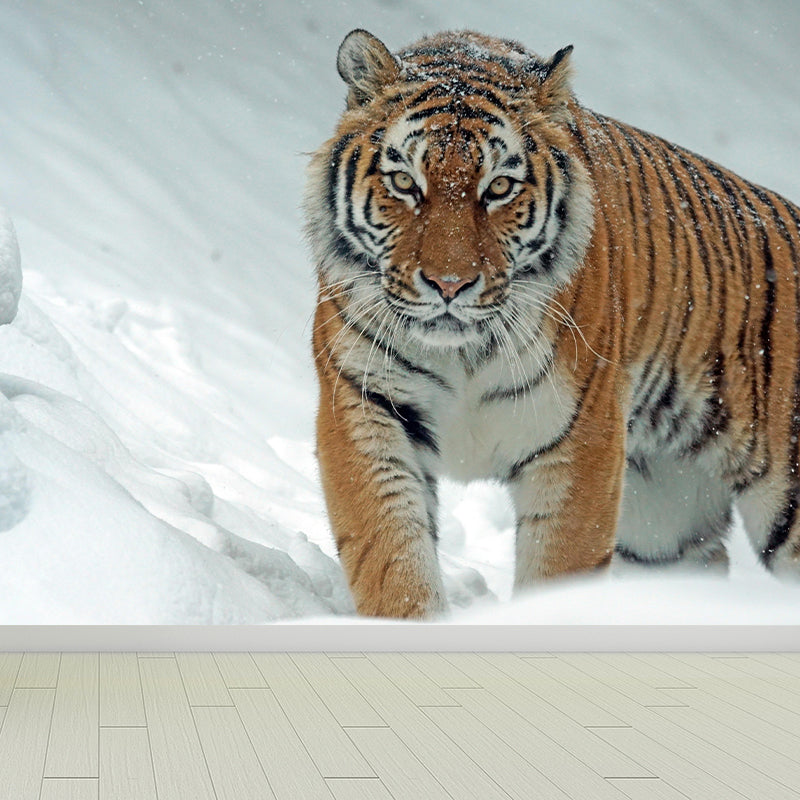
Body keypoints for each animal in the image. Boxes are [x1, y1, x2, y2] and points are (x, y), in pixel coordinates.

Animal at [304, 28, 800, 618]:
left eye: (498, 188)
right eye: (404, 181)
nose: (449, 285)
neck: (462, 353)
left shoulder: (580, 441)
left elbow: (559, 569)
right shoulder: (365, 407)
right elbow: (392, 558)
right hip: (663, 524)